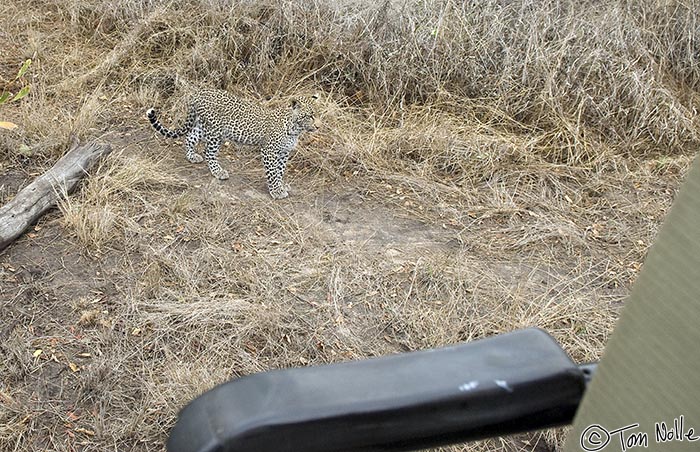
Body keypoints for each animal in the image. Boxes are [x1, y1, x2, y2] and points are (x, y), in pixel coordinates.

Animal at [146, 89, 318, 199]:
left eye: (316, 115)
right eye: (309, 116)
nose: (318, 126)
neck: (295, 129)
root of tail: (199, 93)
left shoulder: (284, 152)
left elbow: (280, 171)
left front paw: (281, 185)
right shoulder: (269, 151)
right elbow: (273, 173)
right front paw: (276, 191)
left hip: (202, 126)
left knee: (189, 137)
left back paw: (192, 156)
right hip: (215, 132)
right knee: (208, 152)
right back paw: (218, 172)